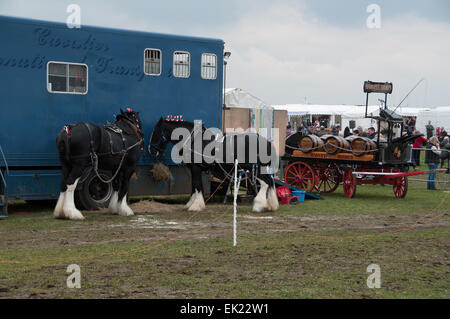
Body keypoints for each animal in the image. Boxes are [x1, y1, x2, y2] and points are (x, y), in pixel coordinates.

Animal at [149, 117, 280, 212]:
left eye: (155, 132)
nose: (151, 150)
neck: (193, 140)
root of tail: (267, 142)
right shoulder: (195, 169)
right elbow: (194, 186)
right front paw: (190, 204)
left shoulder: (196, 168)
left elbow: (197, 185)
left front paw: (195, 206)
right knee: (270, 181)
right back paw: (272, 205)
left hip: (255, 168)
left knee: (265, 183)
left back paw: (259, 205)